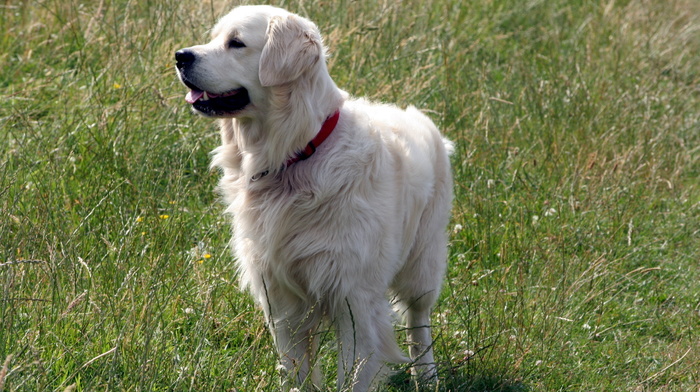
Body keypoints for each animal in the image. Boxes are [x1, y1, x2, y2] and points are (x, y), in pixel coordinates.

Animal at [175, 4, 454, 390]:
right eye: (213, 38)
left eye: (236, 43)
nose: (180, 56)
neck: (295, 156)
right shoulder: (280, 297)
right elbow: (295, 366)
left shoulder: (354, 298)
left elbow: (355, 372)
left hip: (423, 263)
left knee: (419, 320)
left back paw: (427, 376)